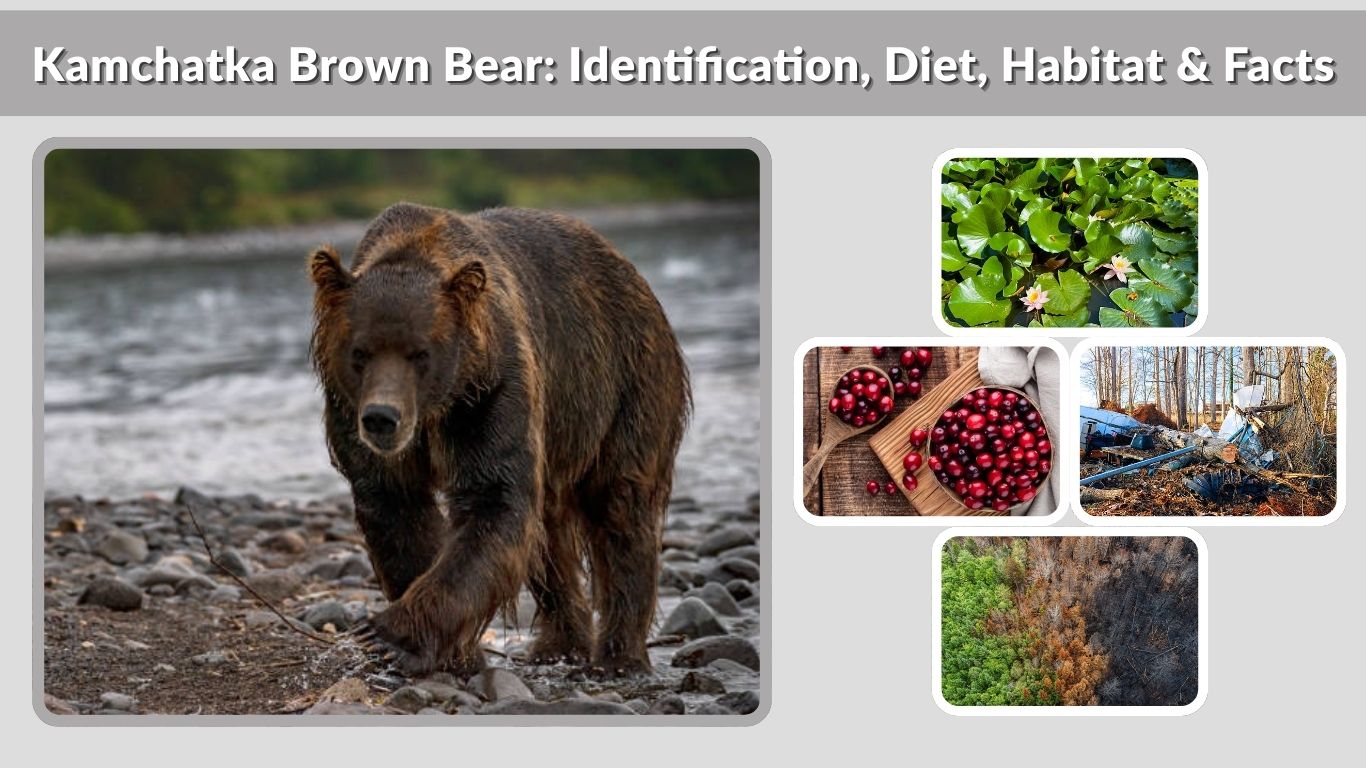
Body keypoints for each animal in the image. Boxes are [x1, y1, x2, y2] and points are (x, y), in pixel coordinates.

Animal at [308, 202, 690, 677]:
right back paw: (559, 644)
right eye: (360, 352)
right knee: (549, 538)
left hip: (626, 382)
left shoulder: (490, 395)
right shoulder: (352, 413)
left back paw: (620, 656)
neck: (436, 410)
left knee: (621, 511)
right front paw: (450, 651)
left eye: (420, 353)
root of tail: (634, 275)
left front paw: (388, 636)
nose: (382, 418)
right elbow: (398, 511)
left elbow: (493, 502)